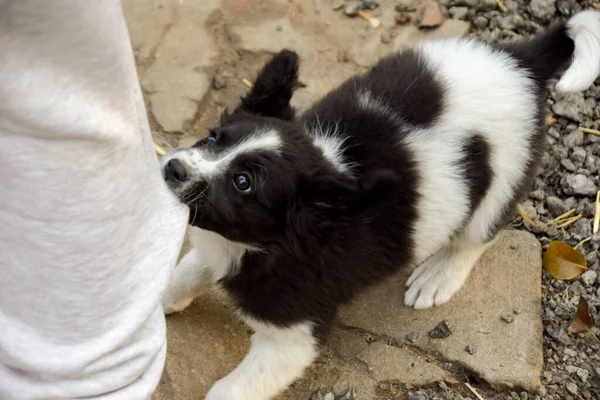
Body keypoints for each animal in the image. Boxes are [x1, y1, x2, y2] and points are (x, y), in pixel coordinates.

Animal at [162, 11, 600, 400]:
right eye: (213, 138)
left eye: (244, 183)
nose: (172, 168)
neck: (259, 244)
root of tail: (521, 61)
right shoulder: (216, 245)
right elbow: (186, 272)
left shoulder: (291, 338)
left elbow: (229, 390)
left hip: (504, 179)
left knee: (478, 234)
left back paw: (438, 274)